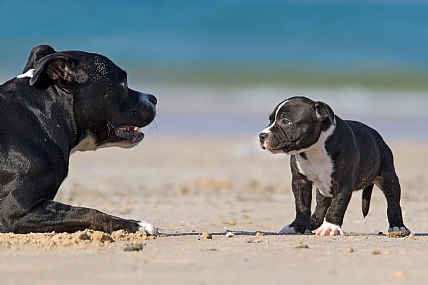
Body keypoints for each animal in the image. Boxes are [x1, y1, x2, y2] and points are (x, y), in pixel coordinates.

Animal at [260, 95, 410, 235]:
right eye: (270, 119)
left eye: (286, 121)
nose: (262, 135)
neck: (314, 149)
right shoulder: (300, 181)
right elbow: (301, 204)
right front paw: (297, 226)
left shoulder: (343, 182)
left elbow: (337, 205)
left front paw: (330, 227)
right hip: (323, 189)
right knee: (321, 206)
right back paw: (312, 222)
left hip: (388, 176)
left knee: (393, 201)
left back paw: (397, 227)